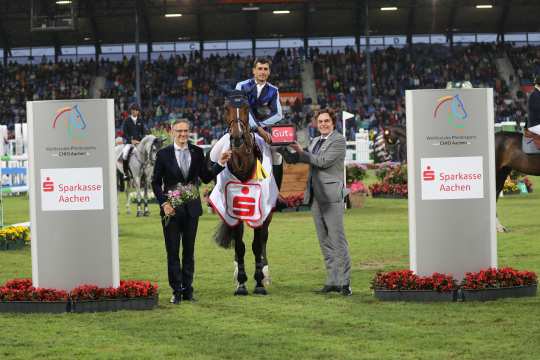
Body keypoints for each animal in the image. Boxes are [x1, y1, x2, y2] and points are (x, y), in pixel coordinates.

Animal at [213, 92, 274, 296]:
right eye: (226, 108)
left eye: (247, 108)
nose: (237, 137)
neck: (241, 163)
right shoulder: (233, 209)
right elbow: (240, 246)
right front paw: (241, 283)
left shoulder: (261, 210)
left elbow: (257, 245)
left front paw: (259, 282)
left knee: (264, 239)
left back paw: (265, 271)